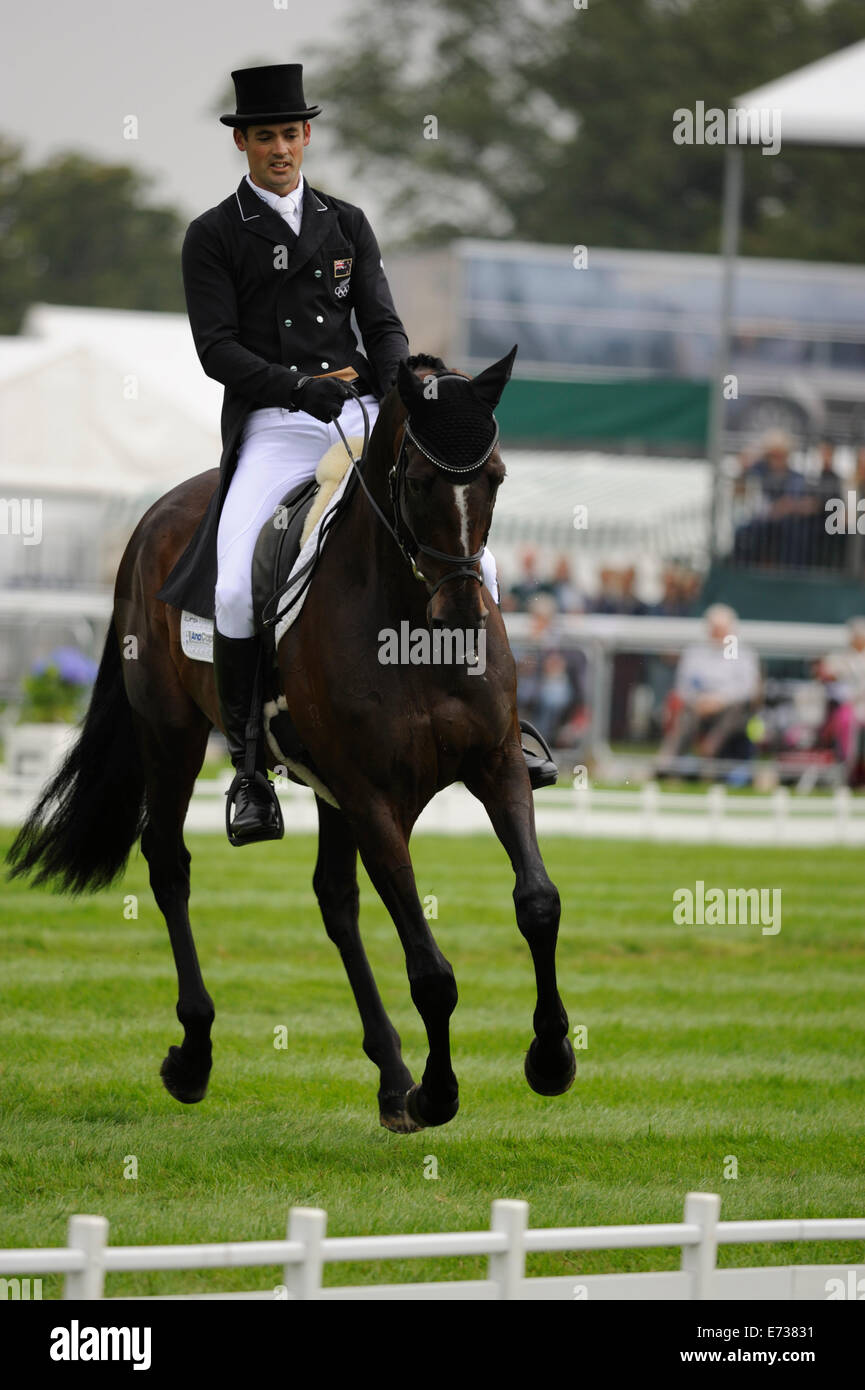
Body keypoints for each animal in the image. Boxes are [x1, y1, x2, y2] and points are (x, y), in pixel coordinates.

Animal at [8, 347, 575, 1128]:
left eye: (494, 477)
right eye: (420, 481)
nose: (462, 618)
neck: (407, 627)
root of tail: (156, 516)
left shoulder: (493, 767)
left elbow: (537, 903)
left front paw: (550, 1059)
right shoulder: (372, 797)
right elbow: (430, 968)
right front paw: (438, 1092)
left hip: (322, 784)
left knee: (334, 899)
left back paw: (390, 1074)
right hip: (173, 734)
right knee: (169, 866)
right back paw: (194, 1055)